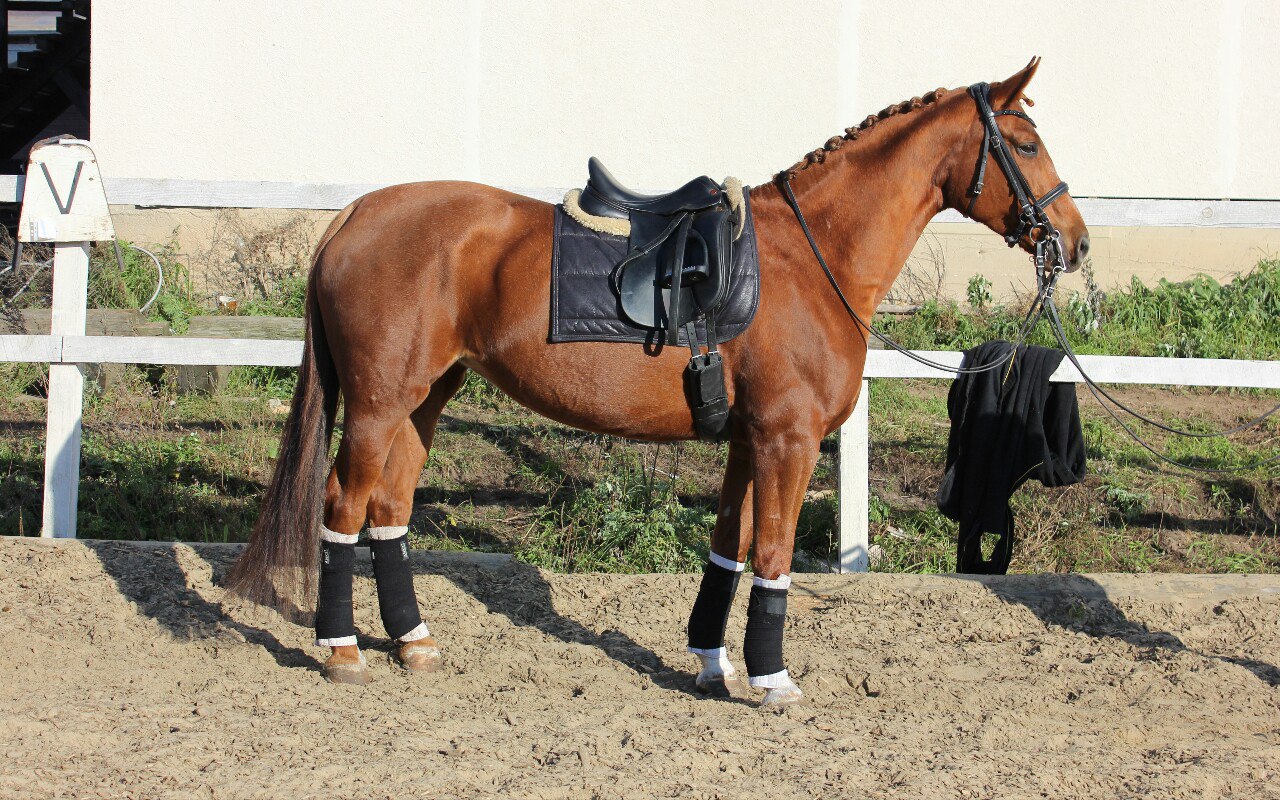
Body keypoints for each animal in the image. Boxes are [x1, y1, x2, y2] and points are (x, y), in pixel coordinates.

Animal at [227, 58, 1089, 706]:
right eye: (1026, 143)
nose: (1073, 242)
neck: (811, 258)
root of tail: (355, 215)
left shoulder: (750, 440)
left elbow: (729, 548)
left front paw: (712, 663)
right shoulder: (788, 440)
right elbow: (773, 553)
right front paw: (772, 679)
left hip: (423, 401)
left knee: (389, 511)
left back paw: (412, 641)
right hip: (378, 405)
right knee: (343, 507)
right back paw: (342, 649)